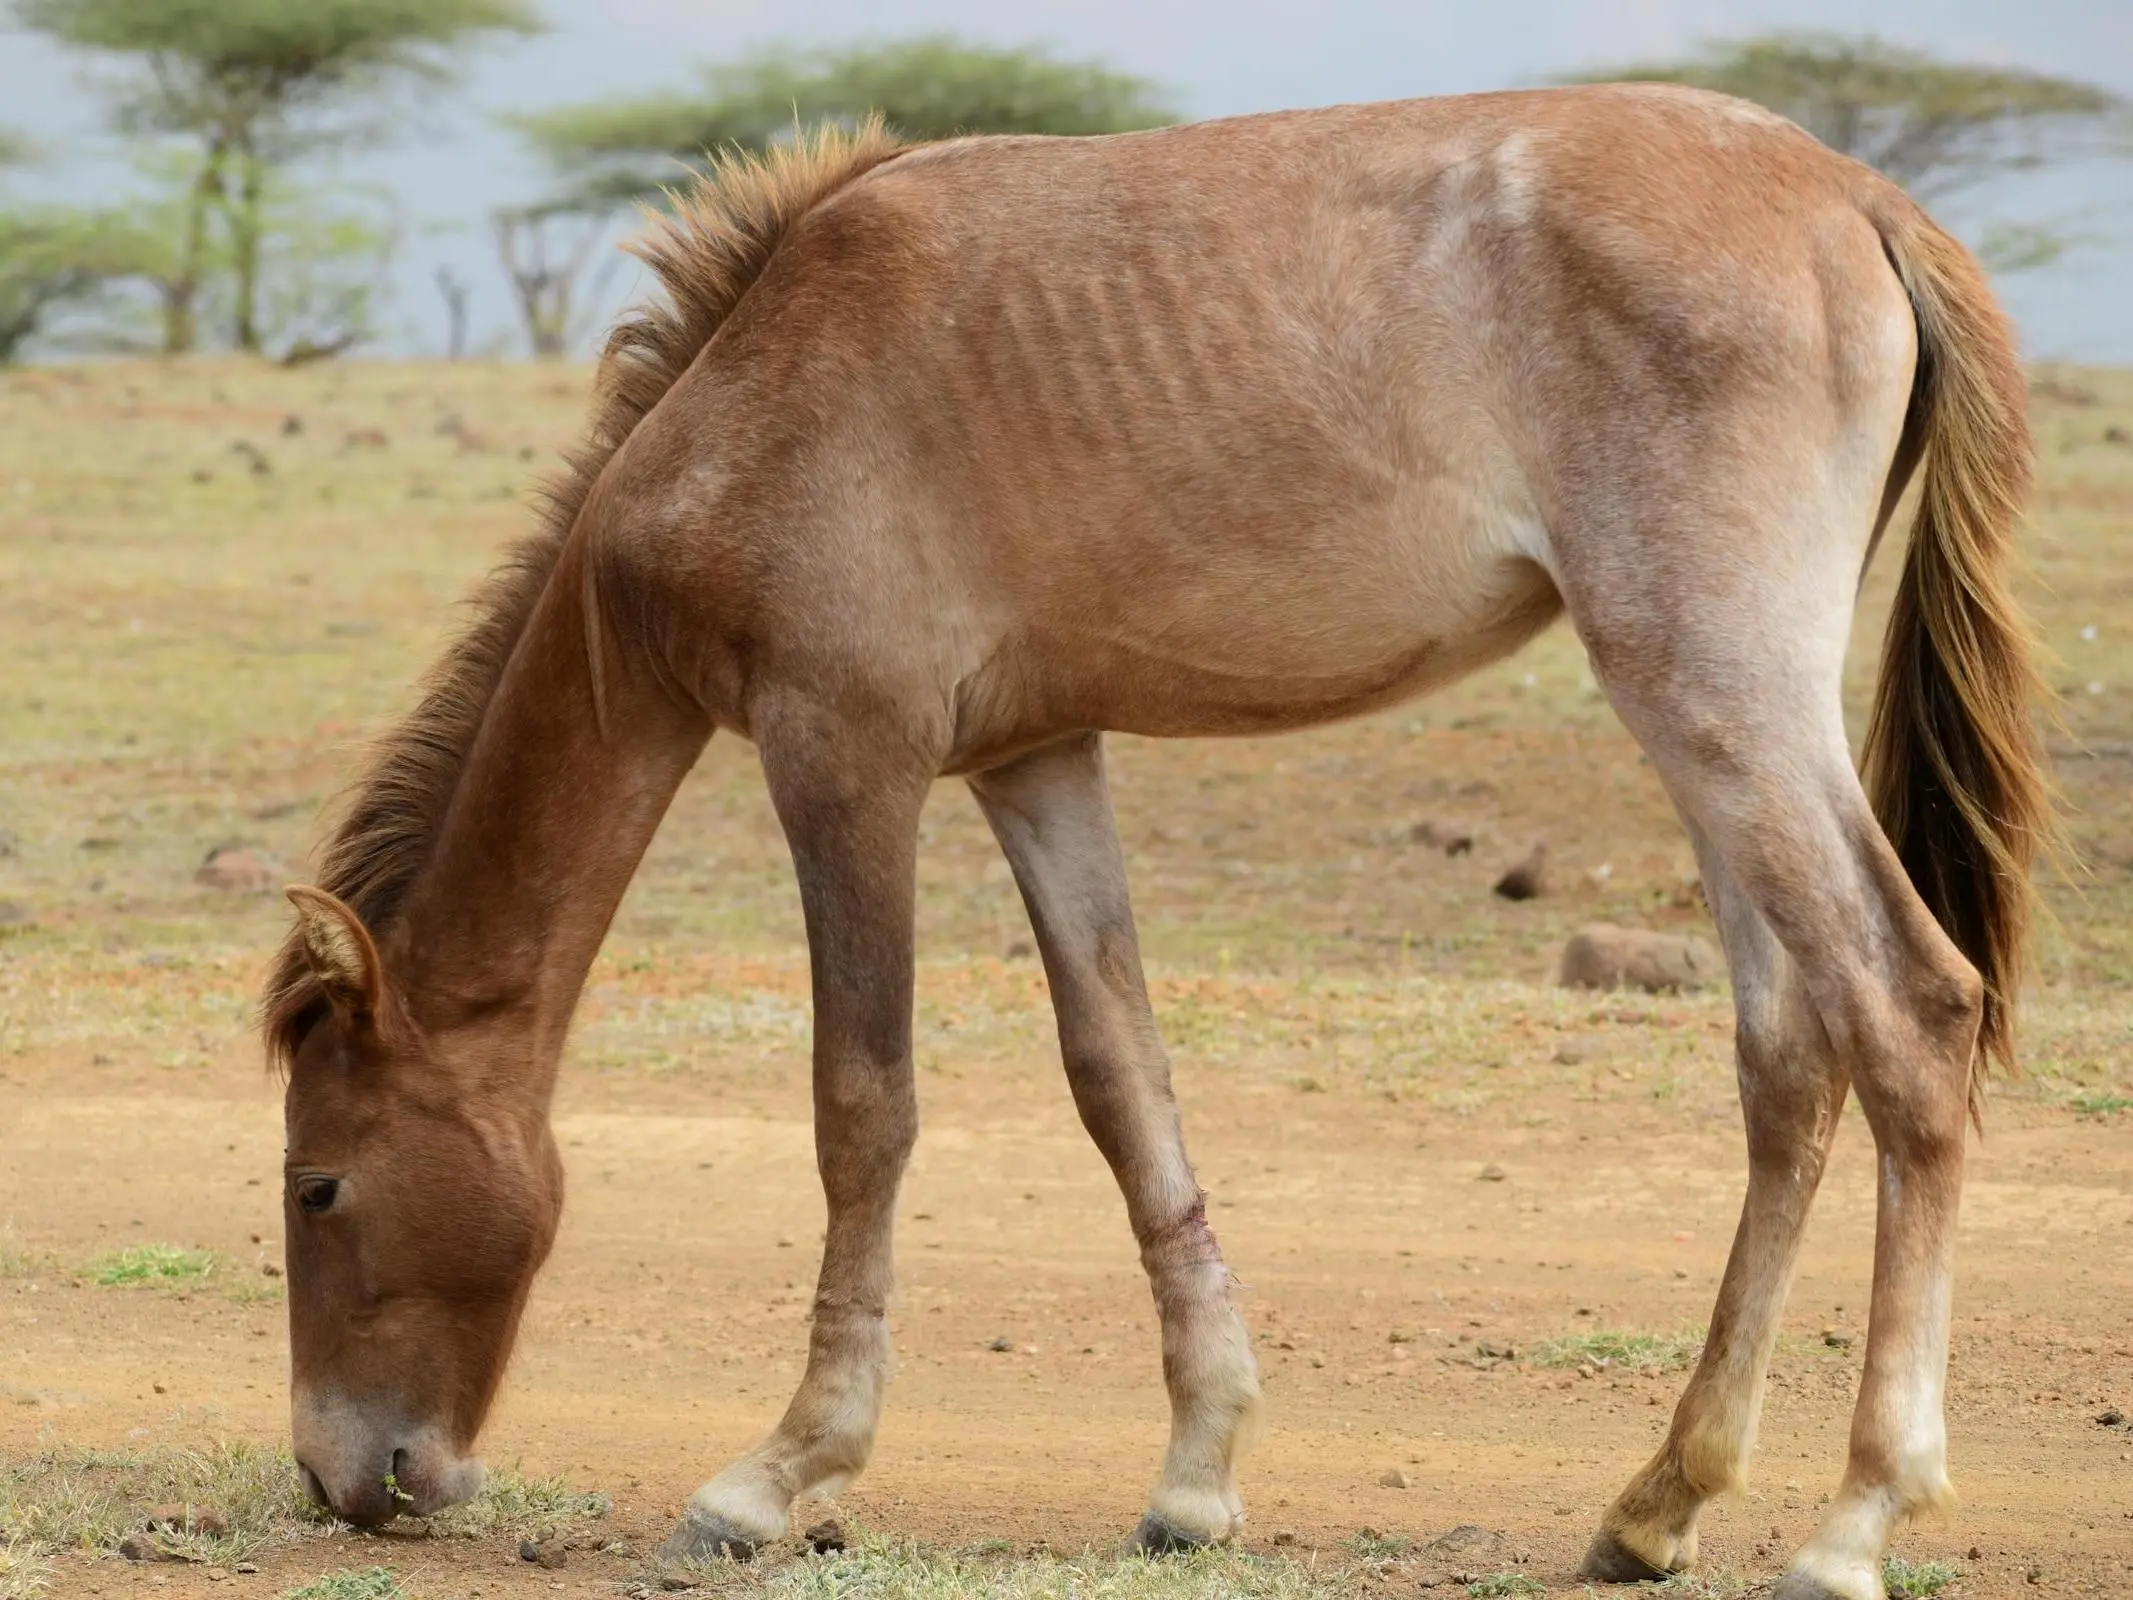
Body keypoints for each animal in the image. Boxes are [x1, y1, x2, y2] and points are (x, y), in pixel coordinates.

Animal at [262, 87, 2047, 1600]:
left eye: (319, 1183)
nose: (348, 1480)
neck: (756, 386)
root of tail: (1860, 198)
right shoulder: (1034, 761)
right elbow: (1122, 1082)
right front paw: (1196, 1473)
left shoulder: (844, 754)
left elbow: (861, 1106)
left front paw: (777, 1473)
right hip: (1717, 722)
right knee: (1787, 1059)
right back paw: (1659, 1501)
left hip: (1712, 690)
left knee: (1909, 1012)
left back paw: (1854, 1520)